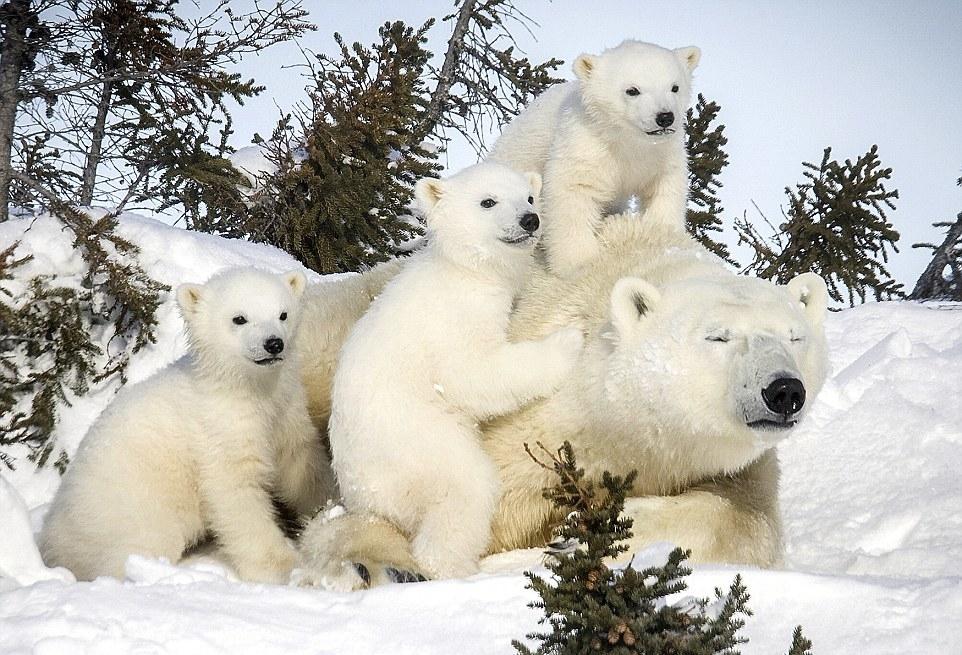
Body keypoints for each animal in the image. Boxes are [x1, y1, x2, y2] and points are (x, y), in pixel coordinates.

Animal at [39, 268, 334, 584]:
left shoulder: (285, 411)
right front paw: (283, 566)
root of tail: (51, 536)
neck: (243, 389)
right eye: (239, 318)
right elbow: (236, 495)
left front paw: (330, 505)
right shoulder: (219, 432)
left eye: (283, 314)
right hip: (130, 509)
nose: (274, 343)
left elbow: (300, 461)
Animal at [292, 215, 824, 588]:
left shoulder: (730, 465)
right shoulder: (536, 427)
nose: (783, 391)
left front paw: (582, 534)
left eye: (795, 336)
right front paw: (378, 561)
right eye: (718, 336)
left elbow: (748, 519)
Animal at [330, 163, 580, 580]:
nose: (530, 220)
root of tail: (364, 500)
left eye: (529, 197)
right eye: (488, 201)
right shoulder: (453, 320)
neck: (464, 271)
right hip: (420, 444)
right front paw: (569, 341)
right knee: (465, 490)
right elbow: (473, 374)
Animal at [488, 40, 696, 276]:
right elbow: (573, 190)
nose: (665, 117)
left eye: (675, 87)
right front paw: (578, 262)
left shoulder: (661, 153)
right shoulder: (586, 145)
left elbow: (665, 187)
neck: (626, 141)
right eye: (632, 90)